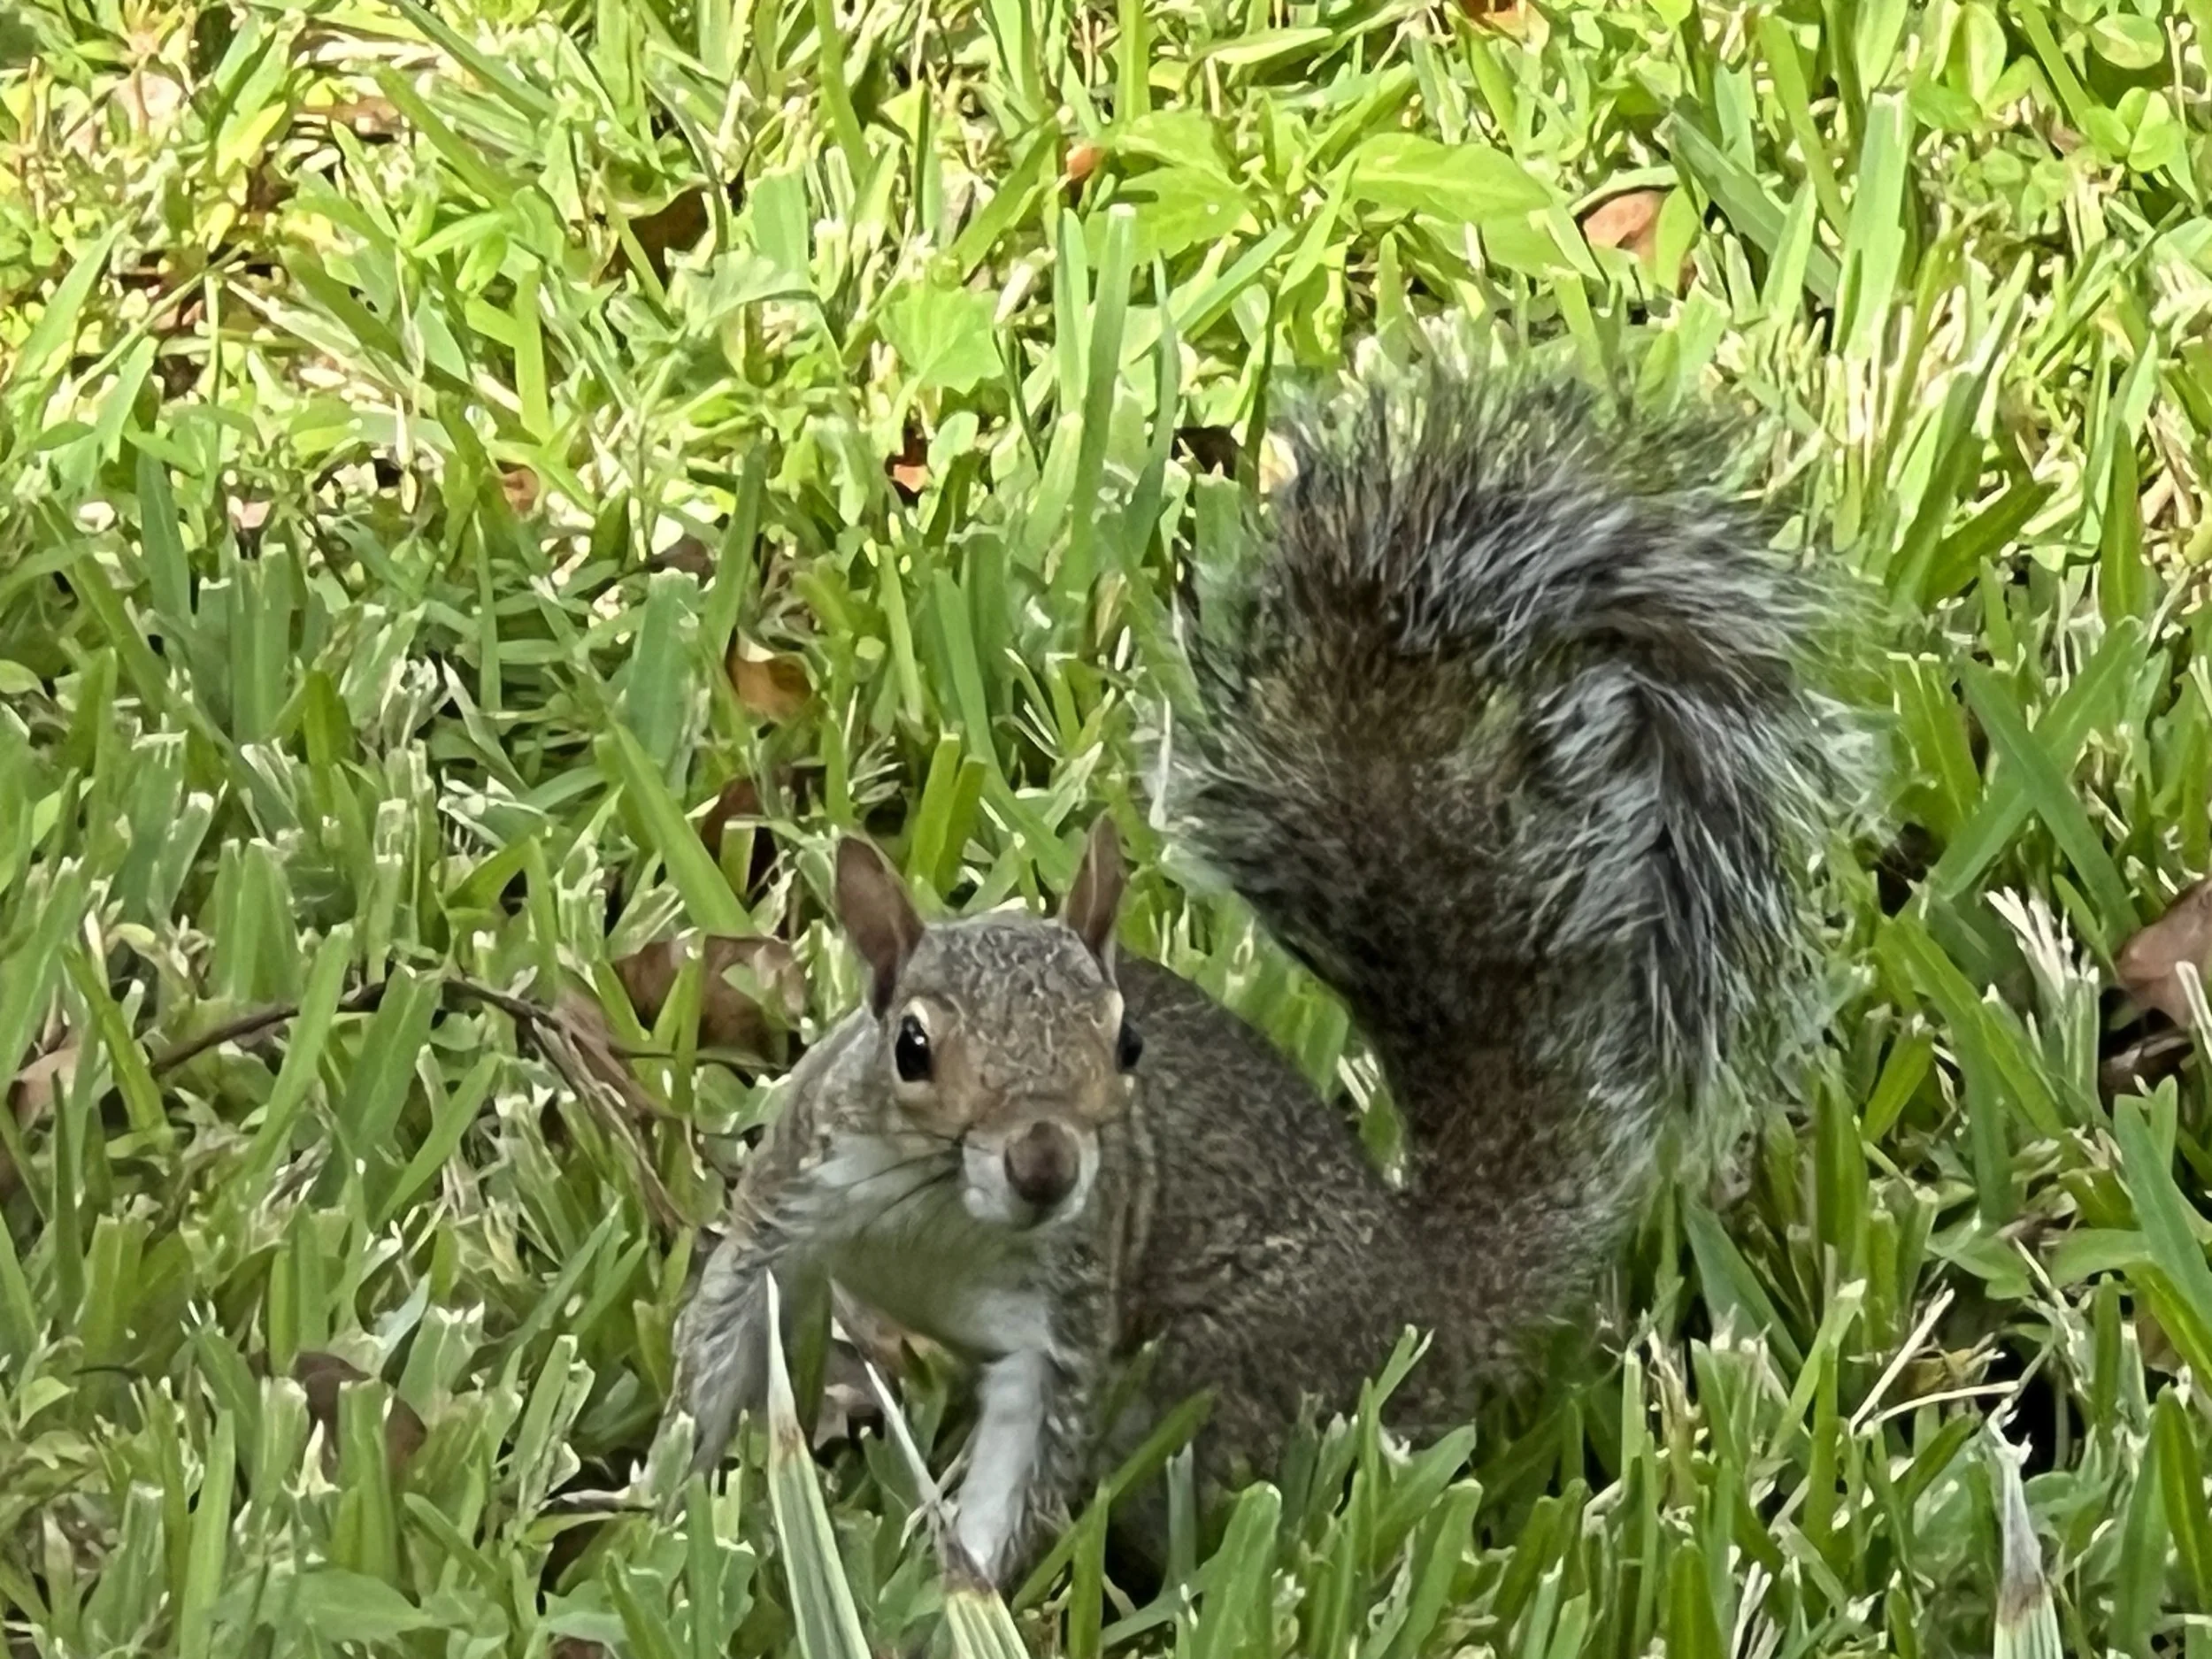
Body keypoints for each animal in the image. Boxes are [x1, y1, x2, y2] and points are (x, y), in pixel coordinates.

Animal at [669, 355, 1842, 1588]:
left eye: (1124, 1041)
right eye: (912, 1049)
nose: (1045, 1166)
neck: (942, 1212)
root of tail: (1428, 1313)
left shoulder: (1067, 1312)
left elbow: (1028, 1460)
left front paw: (959, 1594)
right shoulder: (795, 1199)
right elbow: (725, 1335)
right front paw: (668, 1509)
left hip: (1228, 1379)